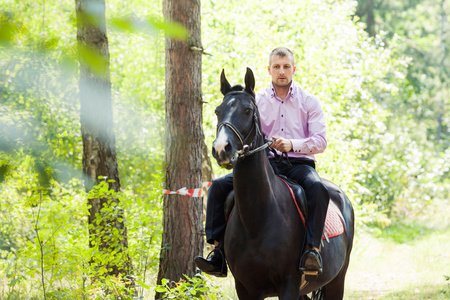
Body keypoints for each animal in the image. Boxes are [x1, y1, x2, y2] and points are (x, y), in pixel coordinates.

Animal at [211, 68, 356, 300]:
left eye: (247, 110)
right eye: (217, 111)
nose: (221, 149)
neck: (257, 220)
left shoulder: (289, 285)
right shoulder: (245, 288)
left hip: (337, 281)